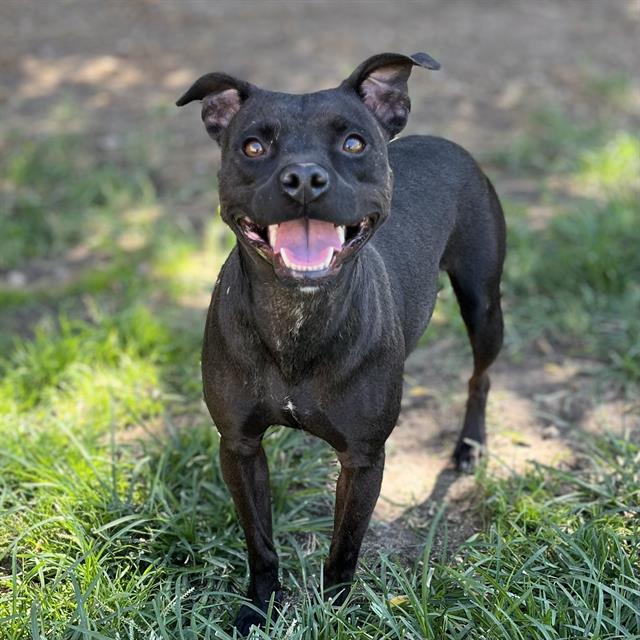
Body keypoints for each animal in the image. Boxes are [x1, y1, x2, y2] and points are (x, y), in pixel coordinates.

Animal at [175, 52, 504, 632]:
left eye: (354, 143)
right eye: (253, 146)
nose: (304, 177)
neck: (297, 318)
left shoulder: (363, 459)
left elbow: (344, 547)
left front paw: (336, 613)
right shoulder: (238, 446)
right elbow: (260, 543)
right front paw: (257, 609)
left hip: (484, 308)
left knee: (479, 377)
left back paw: (469, 446)